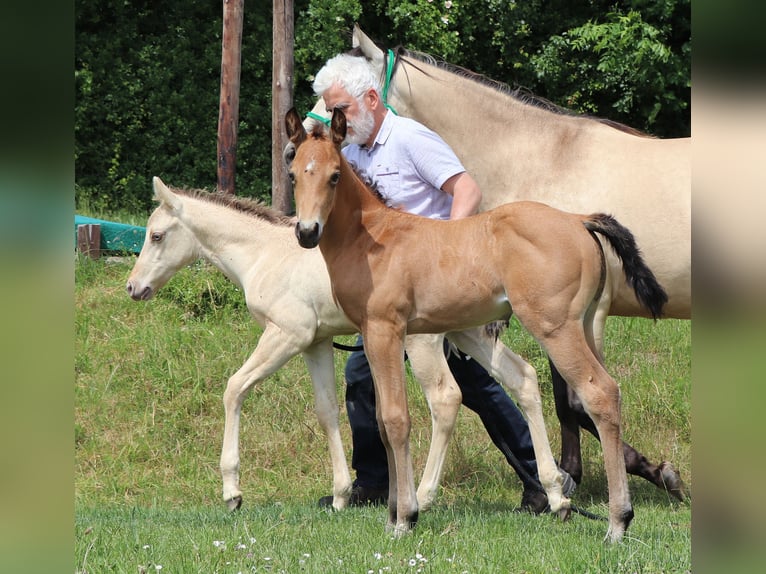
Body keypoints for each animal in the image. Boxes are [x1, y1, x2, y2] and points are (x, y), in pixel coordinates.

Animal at [126, 178, 560, 516]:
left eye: (156, 235)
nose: (133, 287)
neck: (265, 253)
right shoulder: (316, 343)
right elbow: (327, 411)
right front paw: (339, 495)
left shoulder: (286, 335)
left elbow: (234, 388)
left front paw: (232, 491)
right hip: (465, 333)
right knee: (522, 379)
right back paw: (554, 493)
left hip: (423, 342)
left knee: (446, 398)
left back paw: (423, 496)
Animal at [284, 108, 668, 544]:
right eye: (294, 174)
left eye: (334, 176)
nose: (306, 232)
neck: (373, 239)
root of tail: (578, 219)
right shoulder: (371, 333)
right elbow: (382, 422)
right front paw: (393, 513)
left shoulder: (386, 329)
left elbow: (397, 420)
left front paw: (406, 517)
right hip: (587, 325)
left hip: (555, 327)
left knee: (599, 393)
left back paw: (618, 521)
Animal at [304, 24, 692, 498]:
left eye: (334, 107)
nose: (298, 142)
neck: (546, 160)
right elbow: (567, 401)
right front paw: (575, 477)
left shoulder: (583, 316)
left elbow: (579, 399)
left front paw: (624, 474)